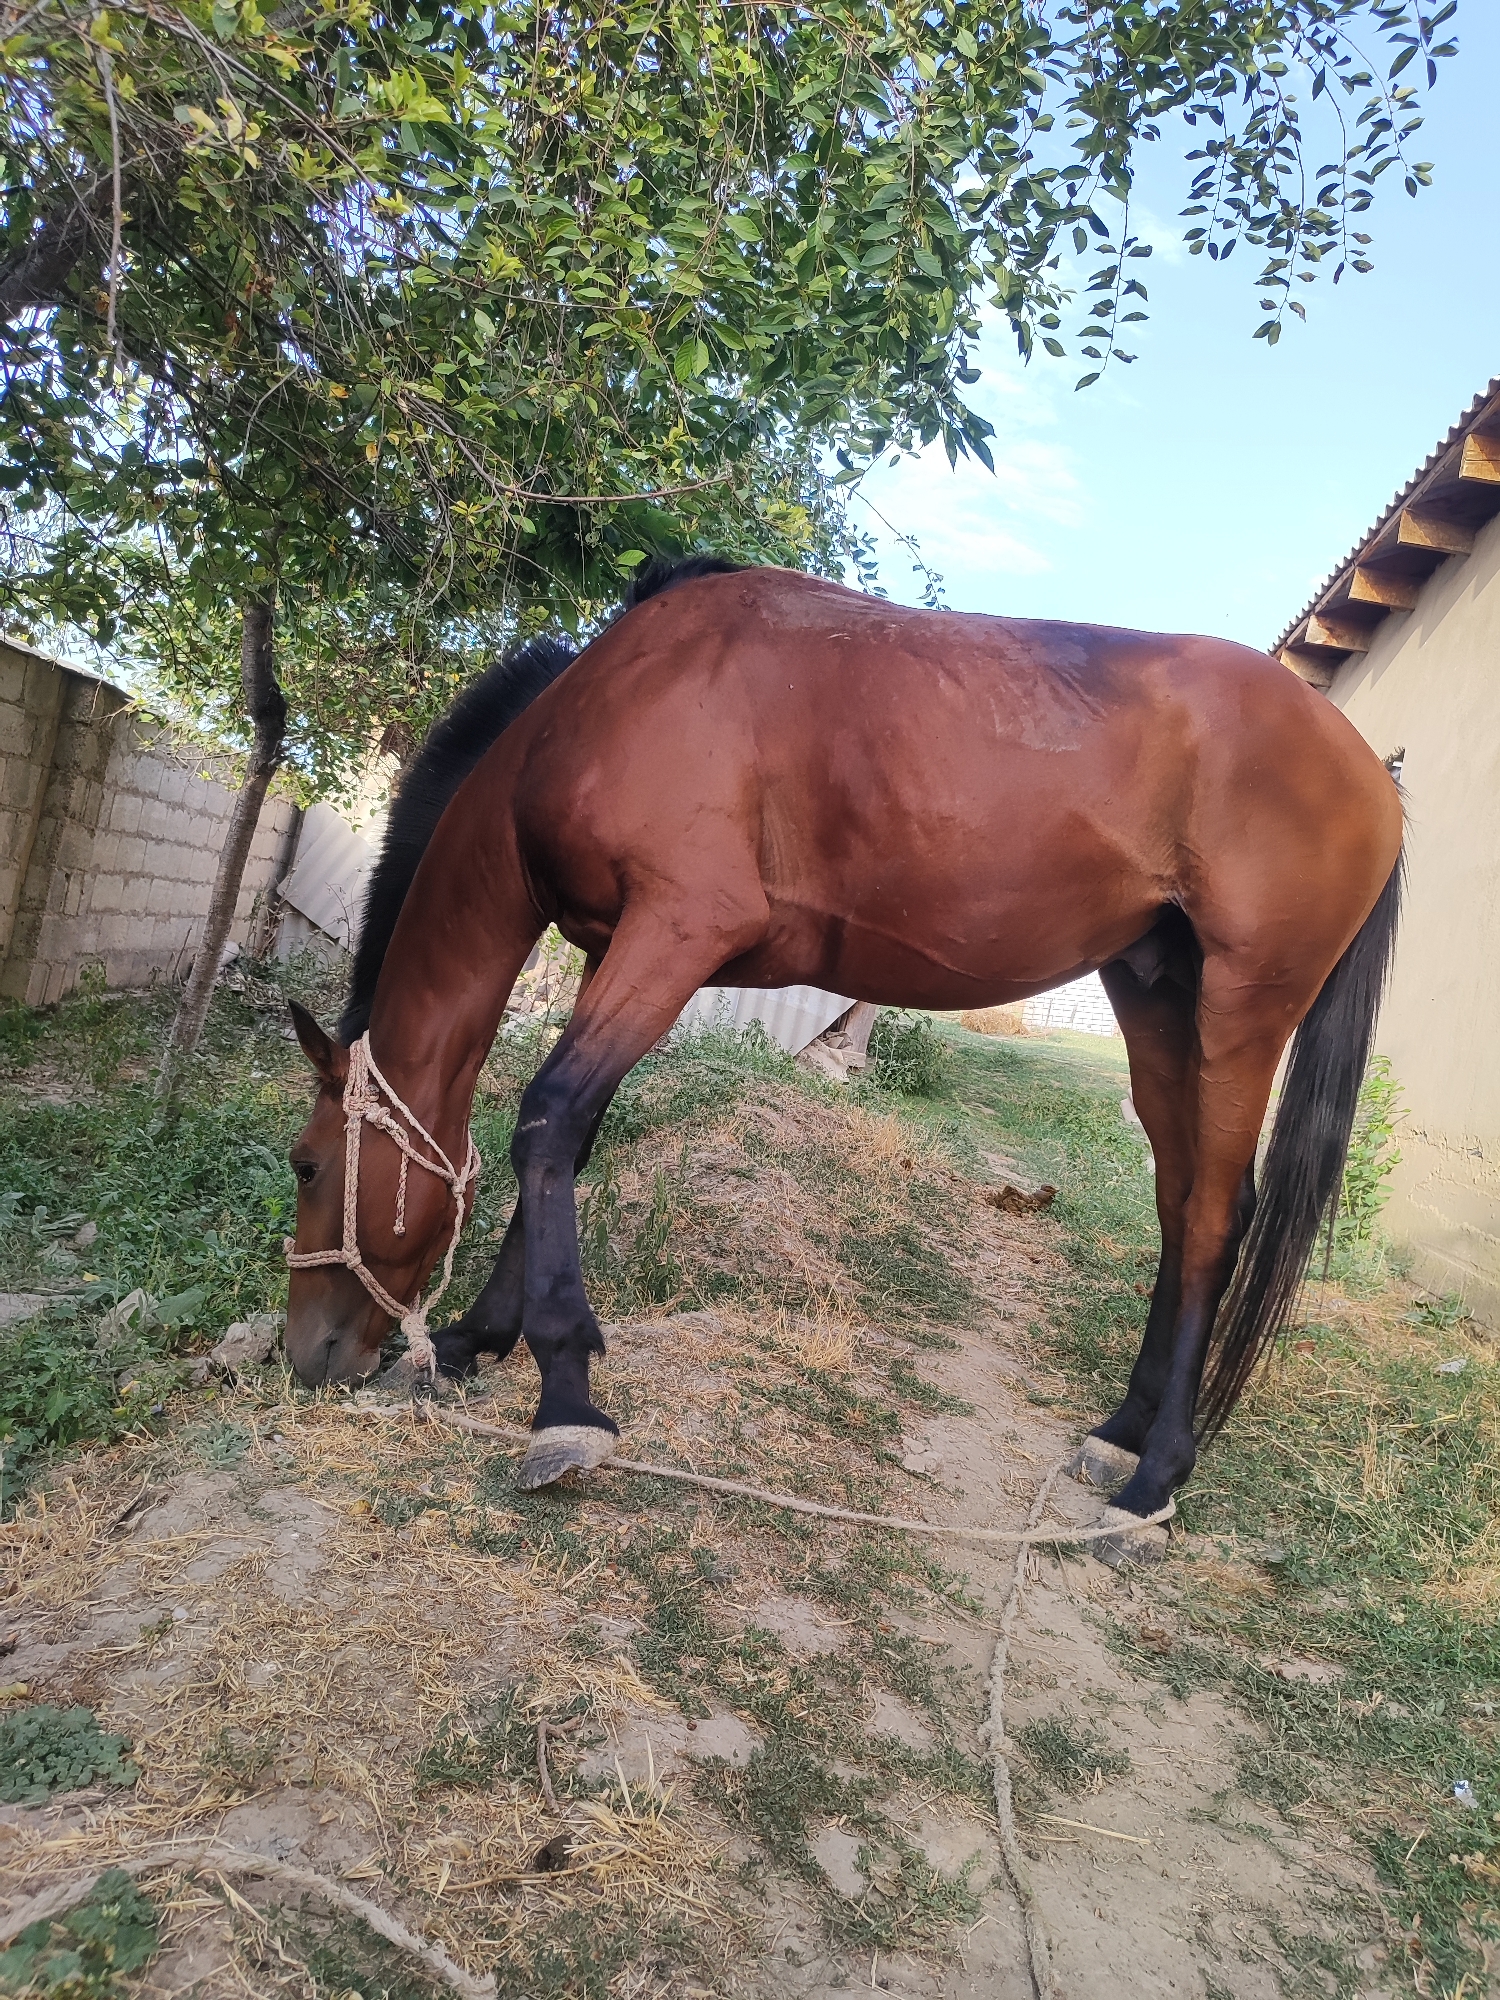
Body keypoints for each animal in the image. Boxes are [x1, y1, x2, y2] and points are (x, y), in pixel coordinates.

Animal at [283, 556, 1403, 1557]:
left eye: (306, 1165)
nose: (309, 1356)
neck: (603, 707)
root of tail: (1370, 770)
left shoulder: (678, 927)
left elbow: (548, 1116)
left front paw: (564, 1399)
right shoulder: (617, 942)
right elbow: (569, 1133)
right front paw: (479, 1338)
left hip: (1242, 1009)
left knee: (1213, 1215)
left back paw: (1152, 1484)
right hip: (1157, 996)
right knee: (1180, 1203)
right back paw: (1120, 1434)